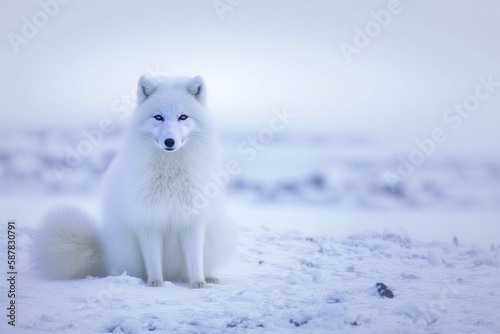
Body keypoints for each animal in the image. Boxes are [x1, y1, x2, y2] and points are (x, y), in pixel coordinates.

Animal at [32, 75, 237, 288]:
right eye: (158, 117)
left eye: (183, 117)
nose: (169, 141)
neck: (170, 176)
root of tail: (105, 255)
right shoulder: (146, 221)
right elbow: (153, 260)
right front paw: (155, 282)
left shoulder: (193, 221)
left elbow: (195, 259)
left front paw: (198, 282)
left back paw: (209, 277)